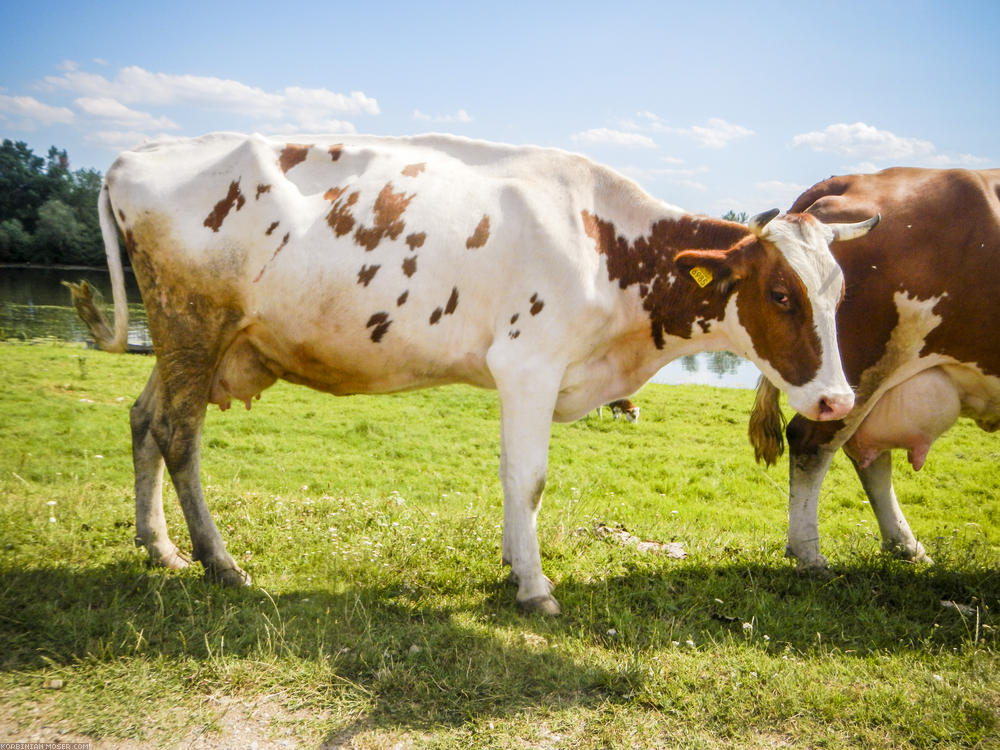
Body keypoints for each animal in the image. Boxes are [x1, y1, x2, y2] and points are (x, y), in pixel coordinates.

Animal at [76, 134, 876, 616]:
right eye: (781, 293)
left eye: (839, 289)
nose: (838, 399)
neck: (605, 245)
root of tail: (134, 156)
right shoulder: (530, 362)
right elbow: (530, 478)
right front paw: (535, 587)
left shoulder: (521, 376)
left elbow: (508, 475)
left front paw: (512, 561)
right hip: (192, 324)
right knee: (179, 435)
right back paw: (219, 561)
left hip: (187, 343)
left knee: (144, 420)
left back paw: (160, 547)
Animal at [752, 167, 1000, 572]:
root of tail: (845, 181)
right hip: (863, 367)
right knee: (812, 440)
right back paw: (809, 553)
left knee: (869, 454)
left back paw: (906, 546)